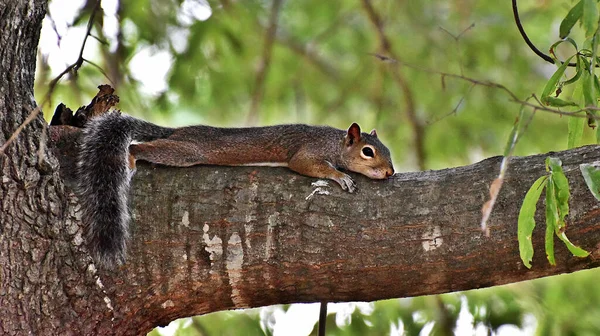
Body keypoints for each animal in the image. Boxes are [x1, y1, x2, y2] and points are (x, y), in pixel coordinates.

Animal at [77, 111, 396, 266]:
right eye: (368, 152)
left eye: (387, 149)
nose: (391, 172)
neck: (334, 143)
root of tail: (179, 131)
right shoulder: (307, 152)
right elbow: (306, 165)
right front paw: (341, 176)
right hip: (185, 152)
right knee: (139, 147)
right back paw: (131, 157)